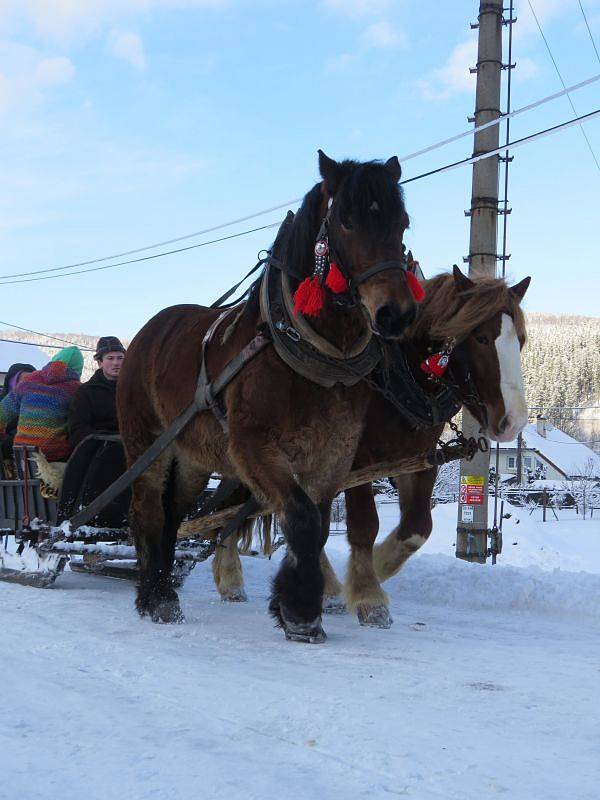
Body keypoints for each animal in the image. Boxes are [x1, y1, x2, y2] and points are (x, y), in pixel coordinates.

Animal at [117, 150, 418, 640]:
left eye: (402, 222)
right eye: (347, 221)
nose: (397, 314)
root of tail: (148, 332)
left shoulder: (334, 453)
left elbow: (317, 526)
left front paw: (298, 603)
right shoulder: (253, 446)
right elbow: (300, 517)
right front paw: (300, 611)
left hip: (194, 458)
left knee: (174, 517)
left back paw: (165, 587)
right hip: (147, 444)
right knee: (148, 512)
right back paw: (156, 597)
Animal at [211, 266, 528, 628]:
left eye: (520, 340)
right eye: (481, 338)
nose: (515, 421)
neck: (398, 375)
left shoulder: (421, 460)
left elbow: (417, 527)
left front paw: (374, 568)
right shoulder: (357, 460)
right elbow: (364, 525)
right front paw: (367, 593)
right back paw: (233, 575)